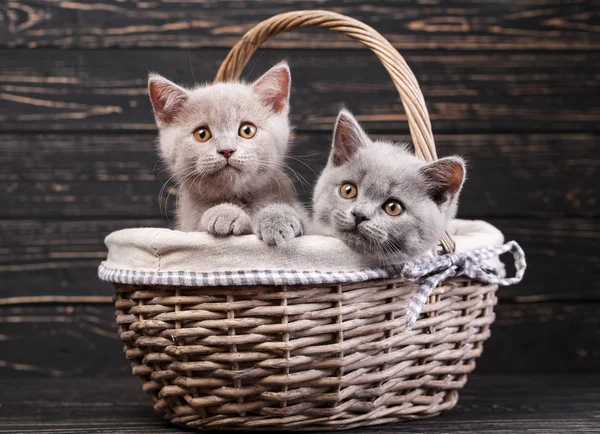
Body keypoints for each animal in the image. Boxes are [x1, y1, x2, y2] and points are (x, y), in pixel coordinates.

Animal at [146, 62, 304, 244]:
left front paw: (277, 218)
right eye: (202, 134)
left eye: (247, 130)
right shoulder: (188, 226)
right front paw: (224, 213)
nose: (227, 150)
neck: (237, 197)